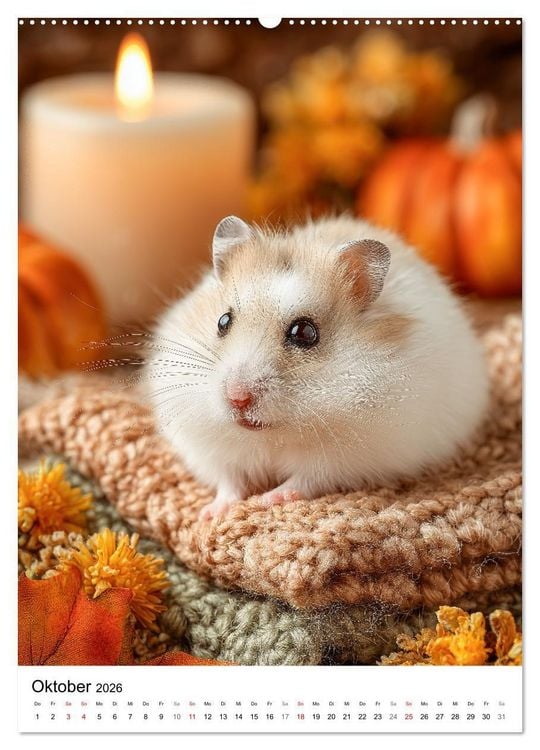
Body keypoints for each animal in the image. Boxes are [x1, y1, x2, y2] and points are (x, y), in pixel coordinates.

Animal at [144, 215, 489, 520]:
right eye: (223, 321)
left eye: (305, 333)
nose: (237, 398)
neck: (273, 434)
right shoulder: (211, 449)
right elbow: (229, 481)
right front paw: (209, 514)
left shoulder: (343, 458)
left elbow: (304, 480)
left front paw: (268, 500)